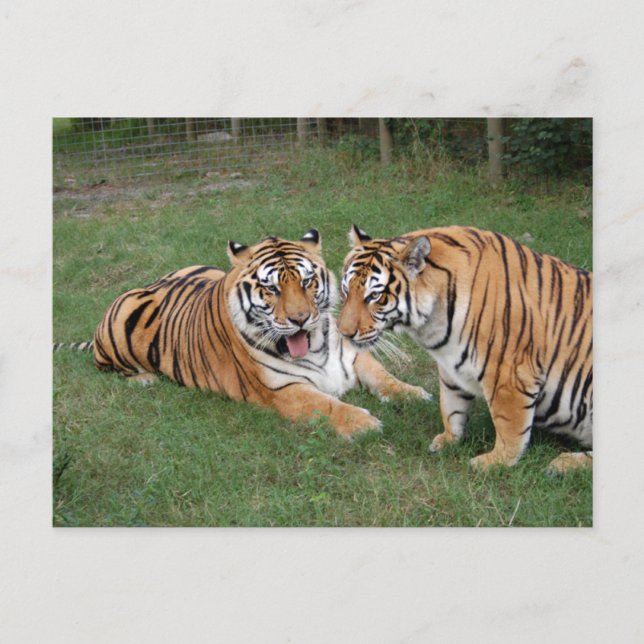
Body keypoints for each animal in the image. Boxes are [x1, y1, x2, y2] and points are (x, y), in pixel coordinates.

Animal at [58, 230, 429, 438]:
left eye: (307, 282)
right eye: (272, 289)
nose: (300, 319)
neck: (315, 347)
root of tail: (152, 283)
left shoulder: (352, 357)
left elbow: (384, 377)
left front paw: (414, 394)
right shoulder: (285, 390)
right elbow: (327, 406)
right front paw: (365, 424)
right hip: (121, 319)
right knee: (106, 366)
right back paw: (144, 379)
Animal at [336, 224, 592, 474]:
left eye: (375, 296)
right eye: (346, 291)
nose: (343, 332)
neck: (433, 322)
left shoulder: (508, 373)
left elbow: (509, 425)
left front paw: (496, 461)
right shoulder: (450, 365)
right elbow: (450, 406)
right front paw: (448, 440)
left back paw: (562, 464)